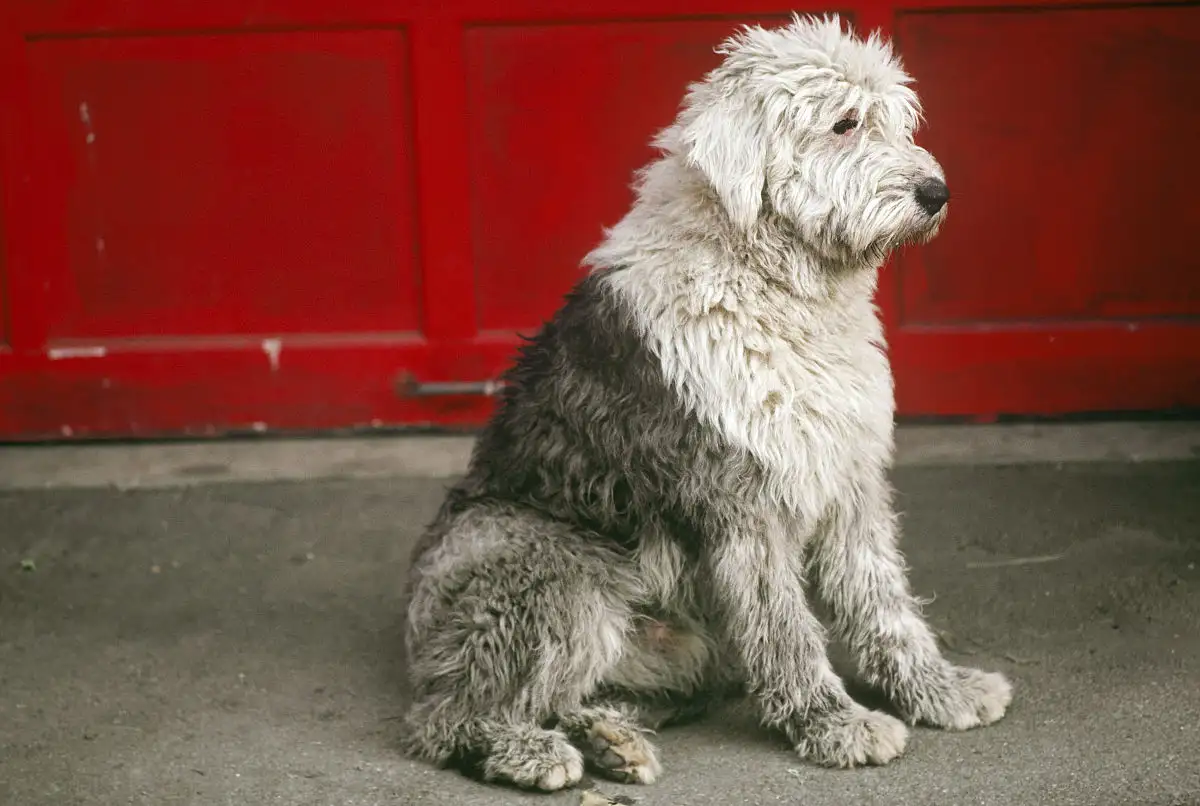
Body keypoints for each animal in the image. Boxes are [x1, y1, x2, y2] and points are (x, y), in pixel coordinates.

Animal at [400, 14, 1012, 791]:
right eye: (844, 123)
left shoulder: (849, 478)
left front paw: (943, 691)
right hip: (554, 571)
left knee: (575, 696)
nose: (936, 192)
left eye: (899, 124)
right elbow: (786, 630)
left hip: (687, 655)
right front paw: (837, 725)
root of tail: (420, 635)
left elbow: (883, 604)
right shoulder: (747, 503)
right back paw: (530, 752)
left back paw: (612, 740)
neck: (770, 283)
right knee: (445, 717)